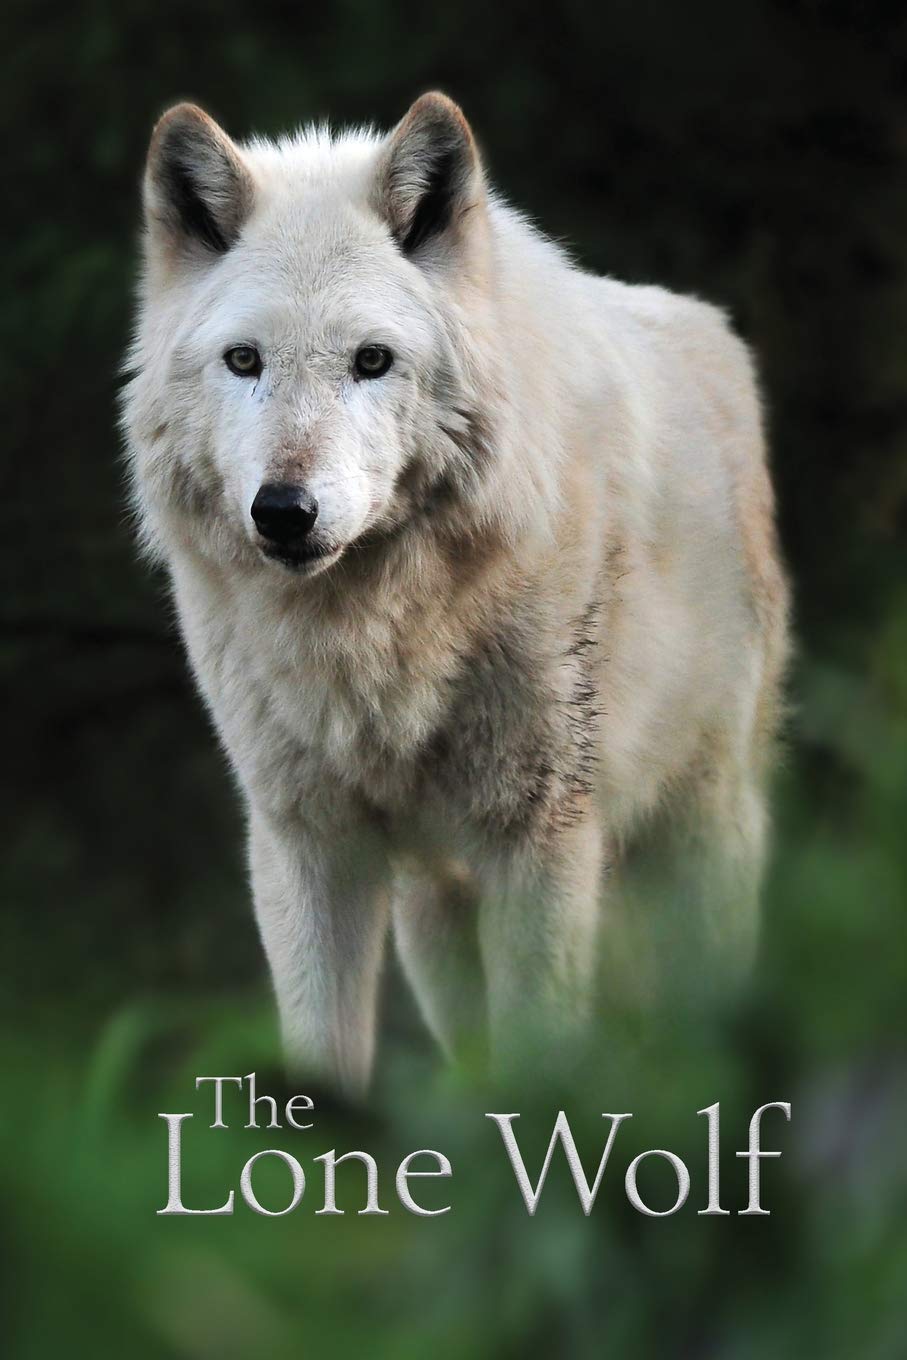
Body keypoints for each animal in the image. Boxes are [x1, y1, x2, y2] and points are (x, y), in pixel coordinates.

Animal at [122, 92, 789, 1096]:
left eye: (371, 361)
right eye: (244, 361)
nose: (283, 511)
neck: (376, 637)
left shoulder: (541, 841)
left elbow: (541, 1054)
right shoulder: (305, 844)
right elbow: (323, 1056)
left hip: (700, 836)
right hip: (435, 913)